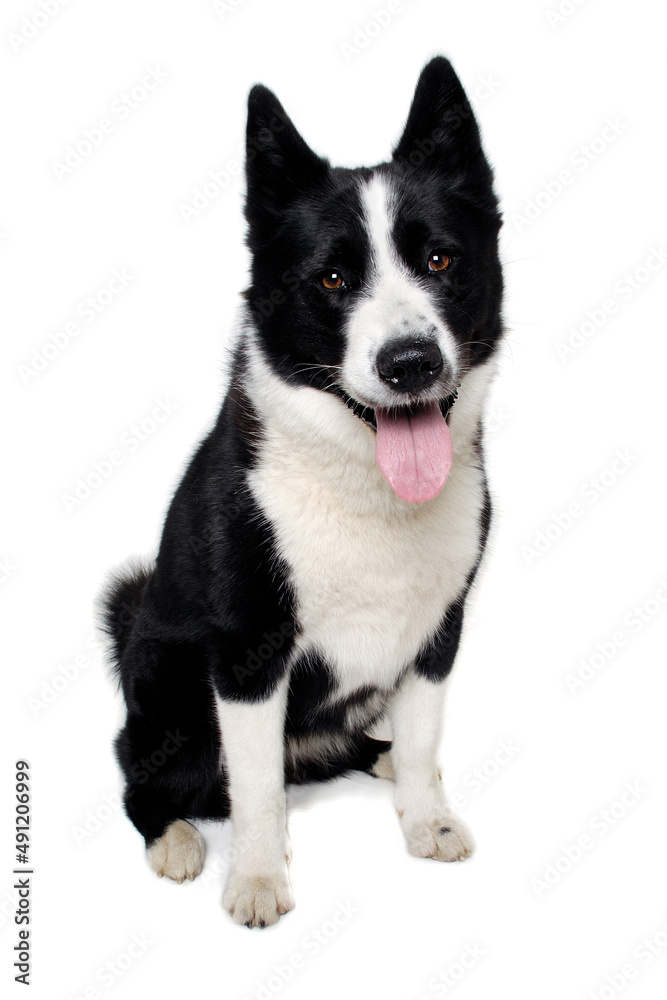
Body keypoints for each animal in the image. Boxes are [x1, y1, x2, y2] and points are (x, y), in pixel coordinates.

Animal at [102, 56, 504, 928]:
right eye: (332, 278)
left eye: (439, 262)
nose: (410, 362)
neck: (365, 491)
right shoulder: (248, 653)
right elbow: (255, 787)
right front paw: (255, 880)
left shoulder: (440, 626)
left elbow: (421, 740)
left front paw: (425, 819)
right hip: (168, 692)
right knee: (142, 773)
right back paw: (174, 839)